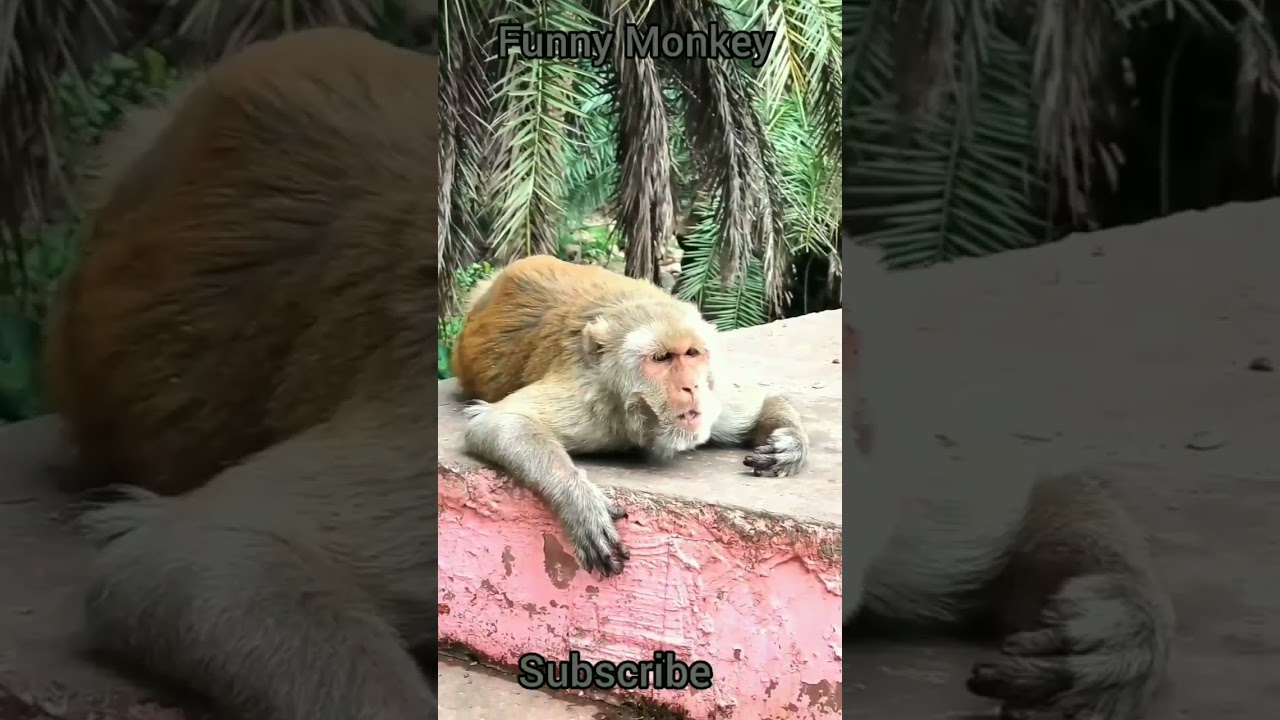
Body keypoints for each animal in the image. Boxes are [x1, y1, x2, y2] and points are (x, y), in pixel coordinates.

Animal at [448, 255, 811, 577]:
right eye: (662, 358)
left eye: (693, 353)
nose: (691, 386)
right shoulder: (592, 403)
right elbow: (496, 421)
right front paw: (580, 503)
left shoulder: (713, 400)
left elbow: (759, 405)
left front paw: (789, 444)